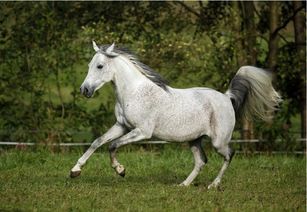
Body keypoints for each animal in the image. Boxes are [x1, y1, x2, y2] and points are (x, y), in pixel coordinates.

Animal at [70, 41, 282, 189]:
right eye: (89, 65)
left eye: (99, 66)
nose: (84, 90)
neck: (134, 92)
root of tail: (226, 97)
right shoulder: (122, 126)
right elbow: (97, 142)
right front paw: (75, 171)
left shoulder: (142, 132)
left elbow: (113, 145)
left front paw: (120, 170)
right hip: (194, 140)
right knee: (201, 161)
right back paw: (183, 185)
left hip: (218, 141)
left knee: (229, 155)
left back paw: (213, 185)